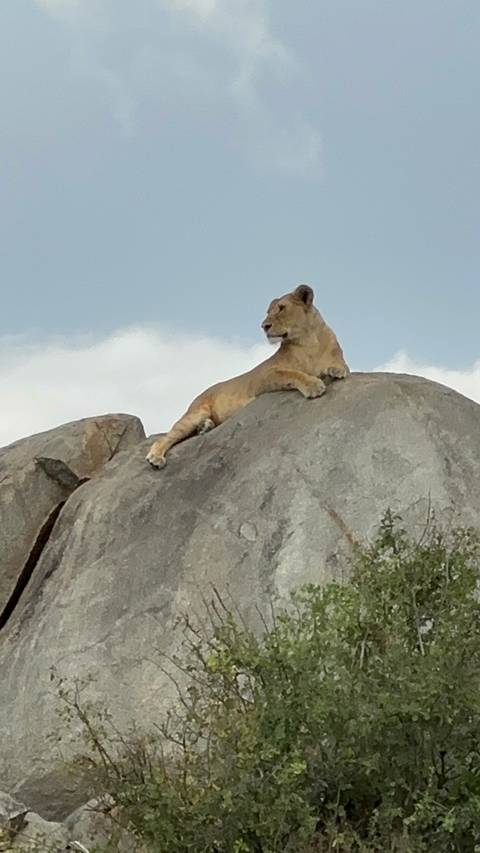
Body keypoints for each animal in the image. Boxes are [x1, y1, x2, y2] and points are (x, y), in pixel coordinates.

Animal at [146, 284, 349, 468]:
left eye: (281, 308)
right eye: (268, 311)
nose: (264, 326)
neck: (308, 340)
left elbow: (341, 365)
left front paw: (336, 370)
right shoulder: (264, 376)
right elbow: (292, 373)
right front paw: (314, 385)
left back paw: (205, 427)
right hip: (195, 412)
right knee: (168, 436)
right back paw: (156, 457)